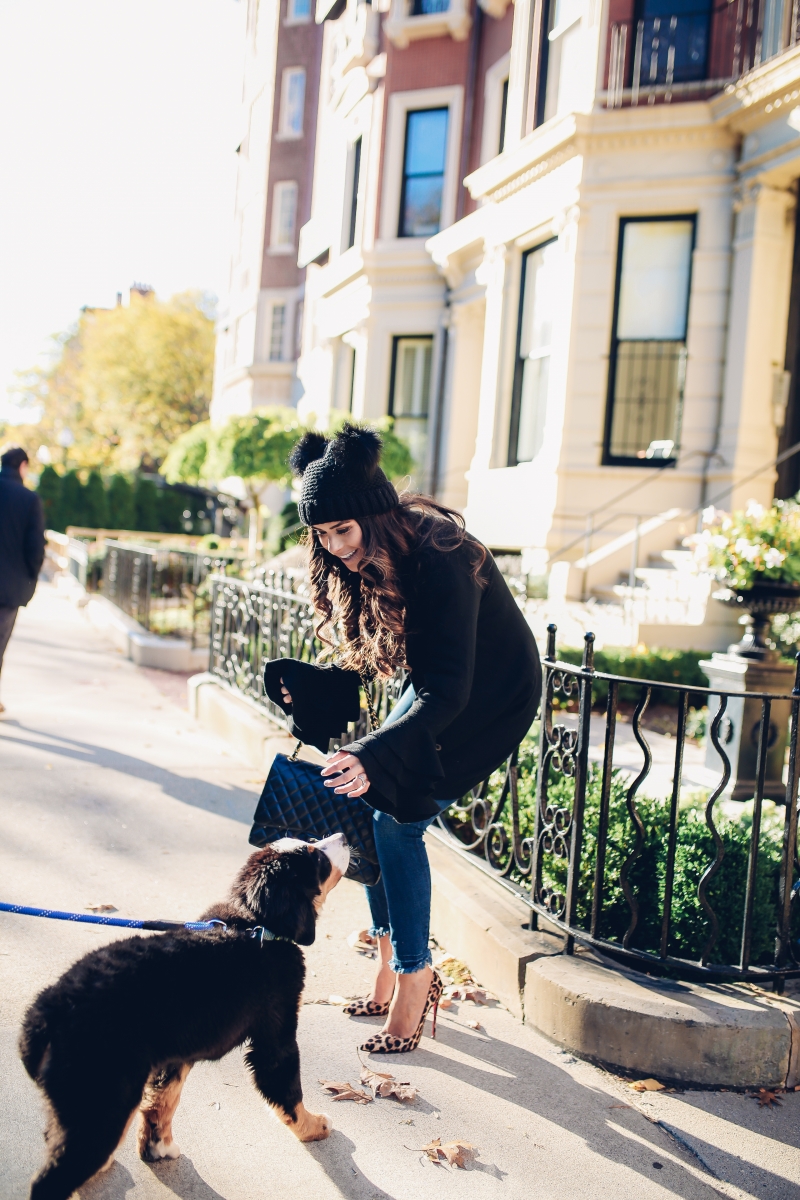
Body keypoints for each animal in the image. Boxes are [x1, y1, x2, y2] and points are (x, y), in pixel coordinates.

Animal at [18, 830, 347, 1200]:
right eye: (318, 859)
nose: (343, 836)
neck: (256, 924)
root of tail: (46, 1013)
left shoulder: (174, 1054)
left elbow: (163, 1100)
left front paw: (157, 1147)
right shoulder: (275, 1037)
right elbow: (289, 1091)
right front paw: (314, 1126)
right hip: (101, 1101)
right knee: (51, 1178)